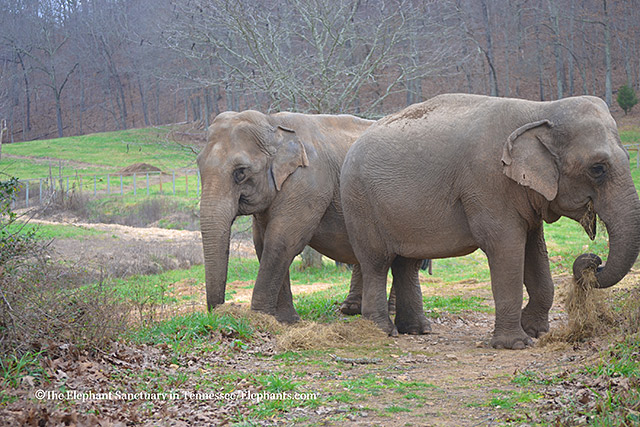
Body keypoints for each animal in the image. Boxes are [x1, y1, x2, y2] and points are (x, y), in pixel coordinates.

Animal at [195, 108, 378, 322]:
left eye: (240, 172)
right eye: (199, 165)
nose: (220, 311)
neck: (273, 123)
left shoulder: (308, 184)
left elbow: (282, 241)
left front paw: (259, 318)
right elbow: (261, 242)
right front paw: (286, 321)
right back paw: (351, 309)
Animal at [340, 94, 640, 352]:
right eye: (598, 168)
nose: (592, 261)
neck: (539, 110)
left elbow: (535, 247)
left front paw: (536, 332)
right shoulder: (487, 182)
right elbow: (506, 246)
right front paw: (515, 344)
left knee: (407, 263)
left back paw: (417, 330)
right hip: (360, 202)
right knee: (377, 262)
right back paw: (382, 331)